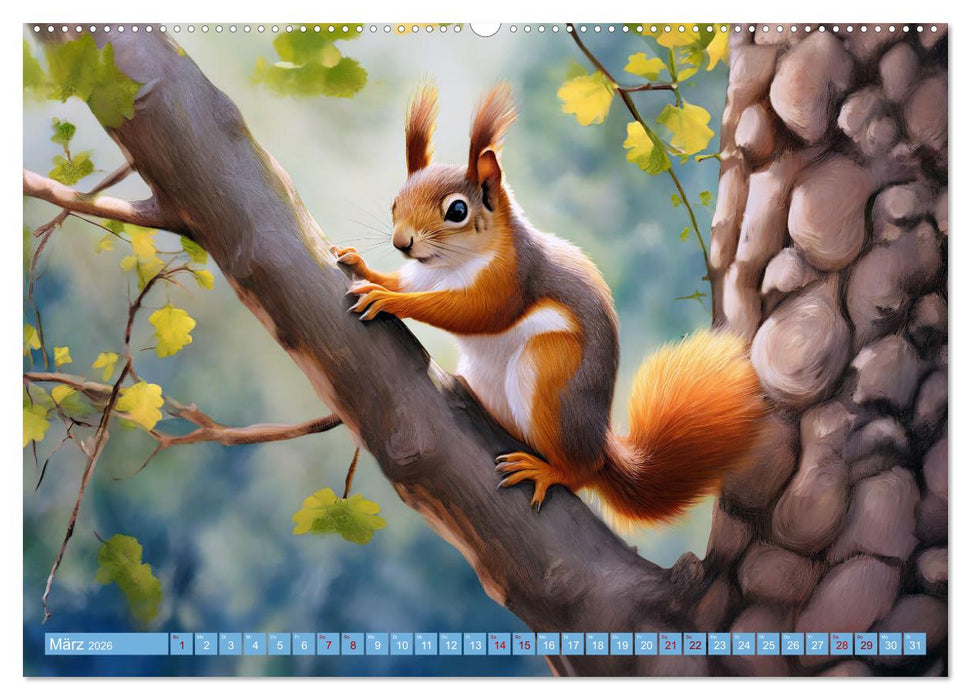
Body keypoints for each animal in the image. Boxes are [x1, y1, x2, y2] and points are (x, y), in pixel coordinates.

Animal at [331, 83, 767, 525]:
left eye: (457, 210)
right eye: (395, 202)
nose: (402, 242)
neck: (450, 265)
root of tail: (598, 445)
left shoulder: (511, 280)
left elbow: (474, 313)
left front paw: (390, 300)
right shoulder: (421, 276)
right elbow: (404, 281)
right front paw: (361, 265)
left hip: (550, 370)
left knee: (581, 471)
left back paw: (549, 471)